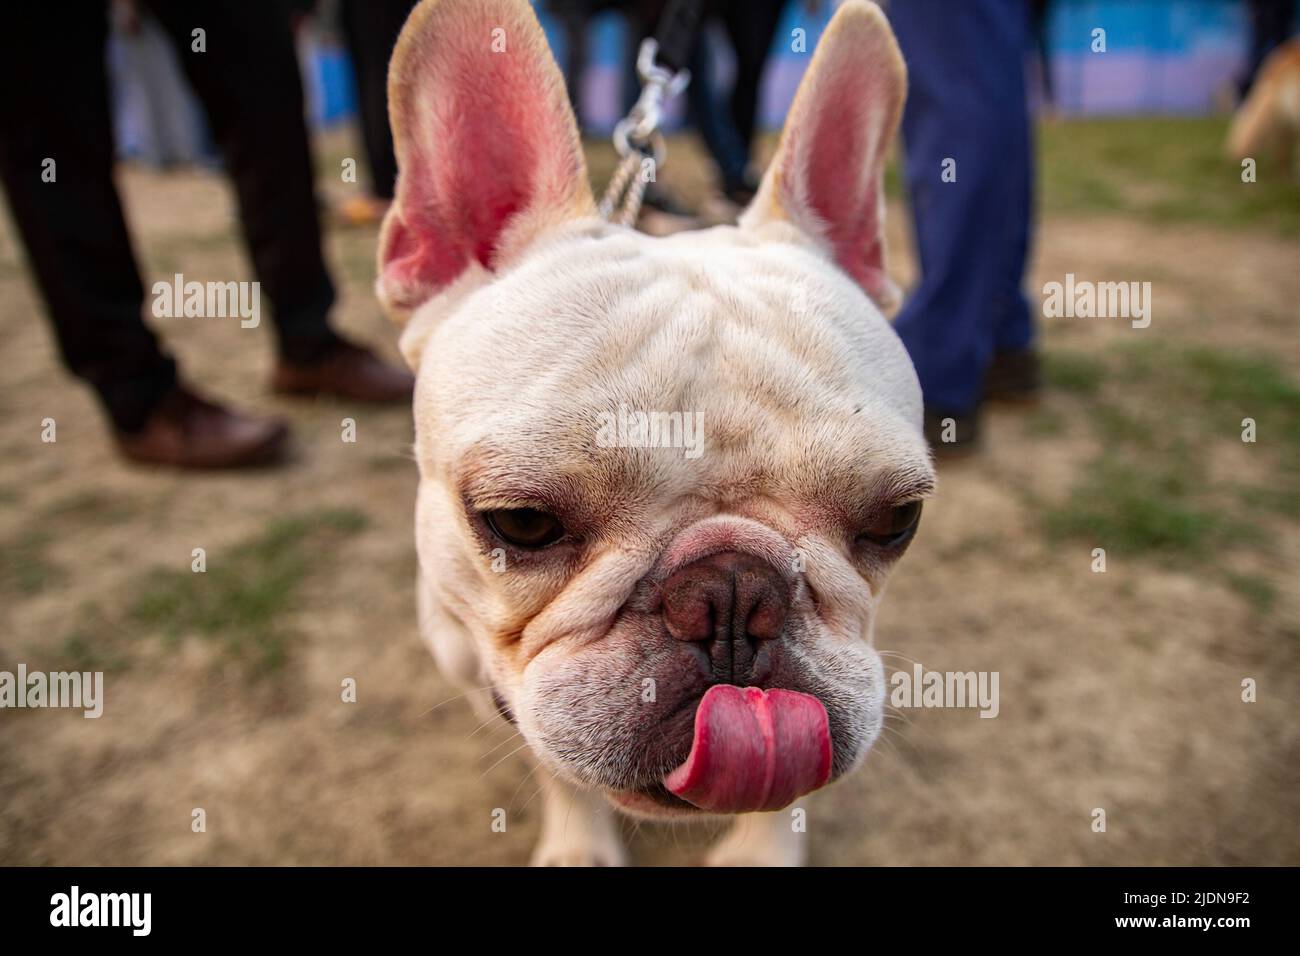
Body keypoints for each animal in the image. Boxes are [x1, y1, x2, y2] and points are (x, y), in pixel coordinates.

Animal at [377, 0, 935, 868]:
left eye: (894, 520)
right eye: (519, 522)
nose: (733, 593)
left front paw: (760, 854)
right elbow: (557, 767)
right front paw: (578, 845)